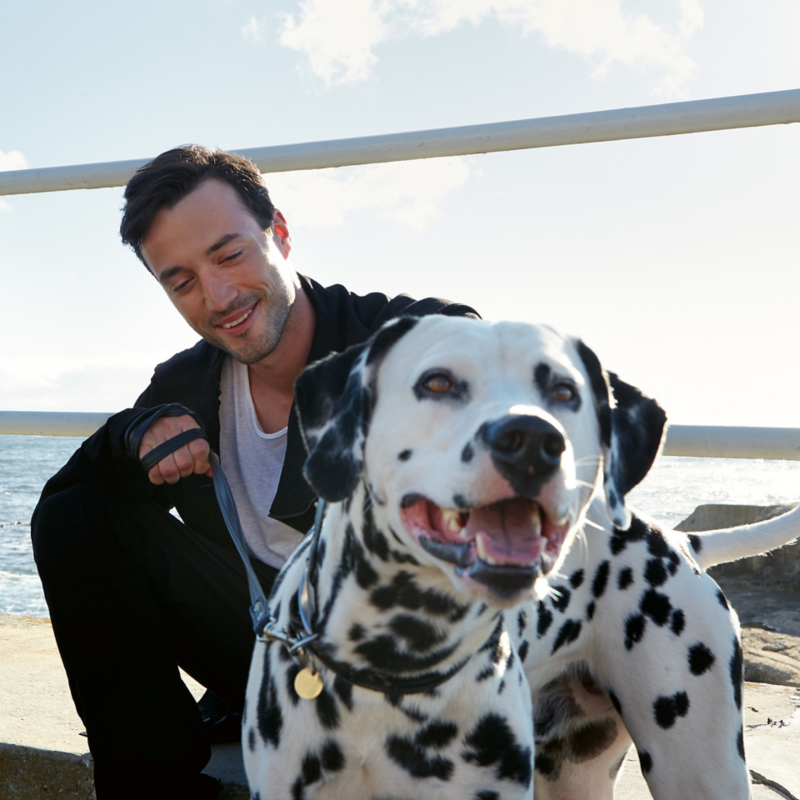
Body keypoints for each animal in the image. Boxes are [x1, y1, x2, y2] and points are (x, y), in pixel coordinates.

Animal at [242, 316, 800, 796]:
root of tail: (680, 539)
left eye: (564, 392)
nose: (533, 439)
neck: (397, 666)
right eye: (438, 383)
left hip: (699, 765)